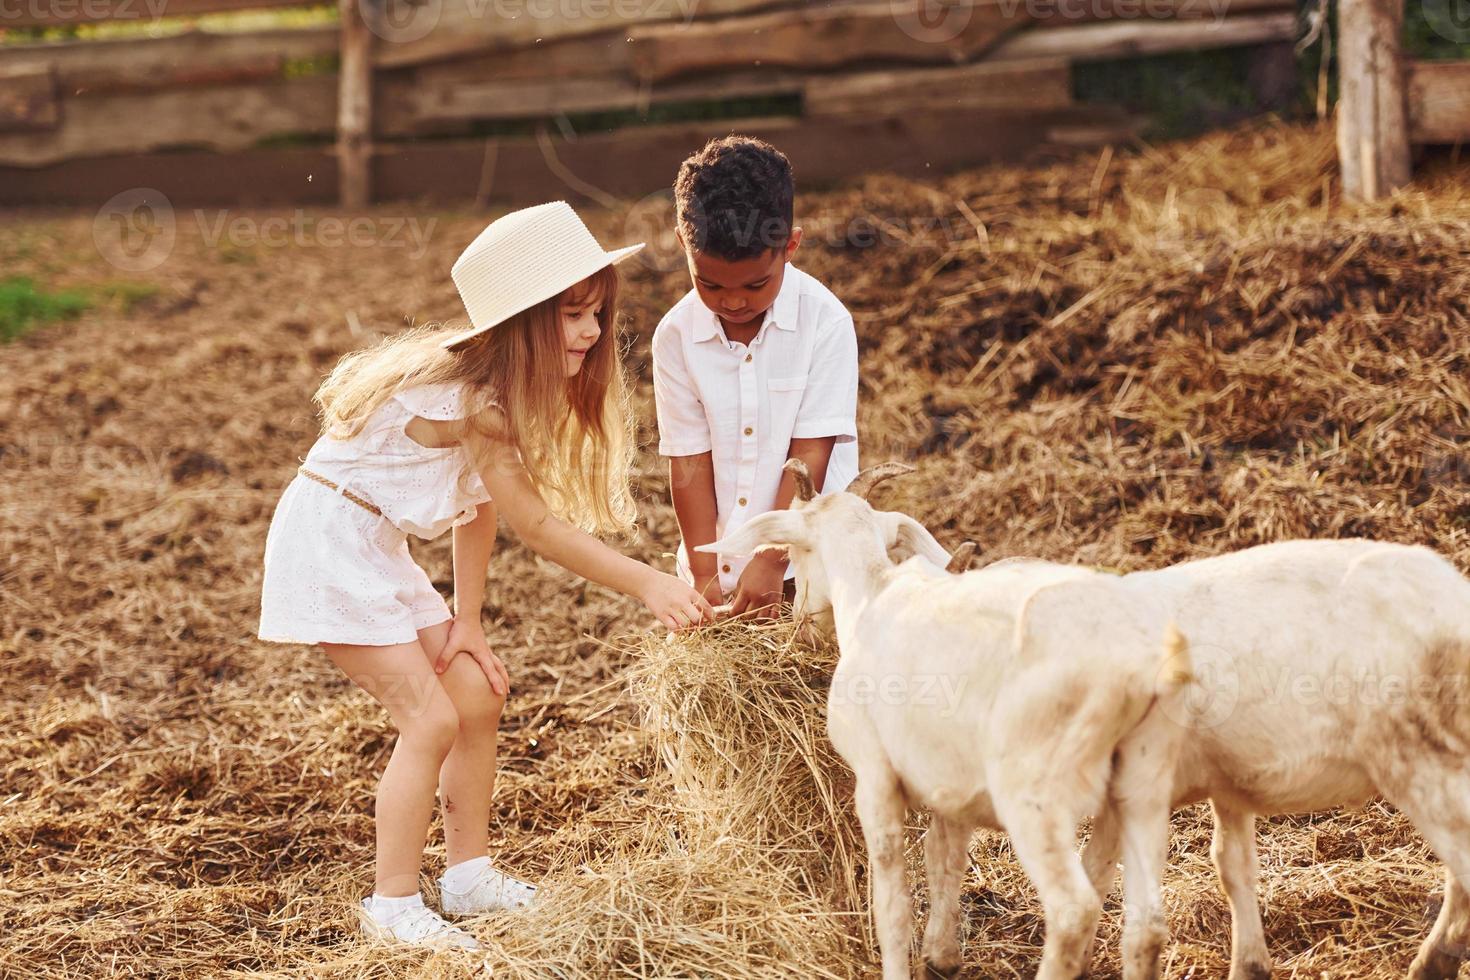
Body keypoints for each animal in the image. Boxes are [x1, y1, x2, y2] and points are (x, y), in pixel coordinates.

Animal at [693, 464, 1187, 980]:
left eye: (791, 552)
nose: (799, 622)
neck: (872, 593)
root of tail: (1133, 668)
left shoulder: (874, 777)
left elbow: (892, 901)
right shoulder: (950, 783)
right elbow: (943, 858)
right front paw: (942, 956)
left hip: (1035, 794)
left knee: (1073, 910)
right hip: (1141, 783)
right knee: (1142, 920)